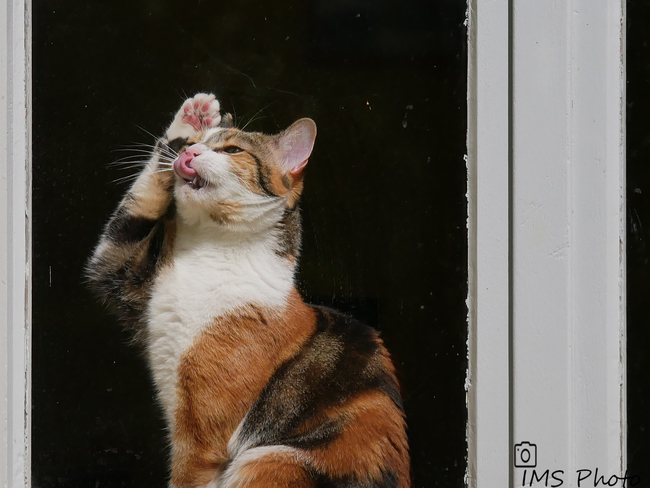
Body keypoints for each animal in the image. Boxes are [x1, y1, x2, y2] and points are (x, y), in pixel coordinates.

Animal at [86, 92, 410, 488]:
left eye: (231, 150)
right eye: (194, 145)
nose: (189, 152)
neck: (209, 247)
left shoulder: (201, 441)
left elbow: (187, 477)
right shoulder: (119, 271)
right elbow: (132, 216)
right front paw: (191, 118)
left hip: (270, 460)